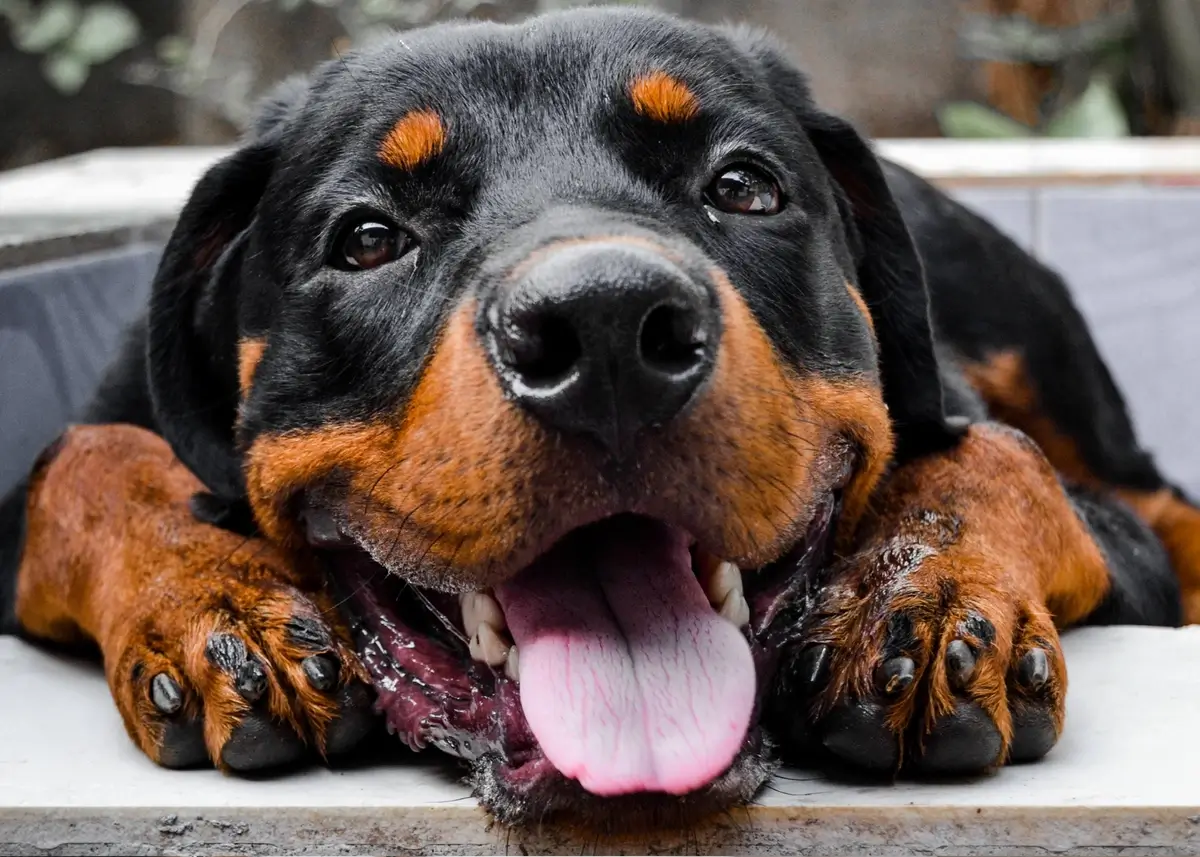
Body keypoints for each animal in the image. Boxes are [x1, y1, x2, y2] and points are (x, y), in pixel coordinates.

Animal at [2, 5, 1200, 820]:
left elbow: (998, 455)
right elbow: (88, 455)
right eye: (368, 237)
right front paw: (216, 597)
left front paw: (922, 591)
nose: (608, 328)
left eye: (744, 185)